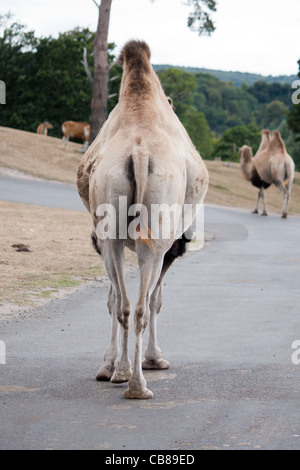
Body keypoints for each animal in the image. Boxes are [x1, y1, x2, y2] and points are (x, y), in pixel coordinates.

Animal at [77, 41, 209, 400]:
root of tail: (139, 152)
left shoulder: (114, 241)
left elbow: (123, 299)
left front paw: (110, 366)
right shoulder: (171, 246)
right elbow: (156, 300)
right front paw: (155, 359)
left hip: (111, 228)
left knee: (125, 304)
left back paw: (127, 378)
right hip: (152, 234)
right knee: (139, 305)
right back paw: (135, 382)